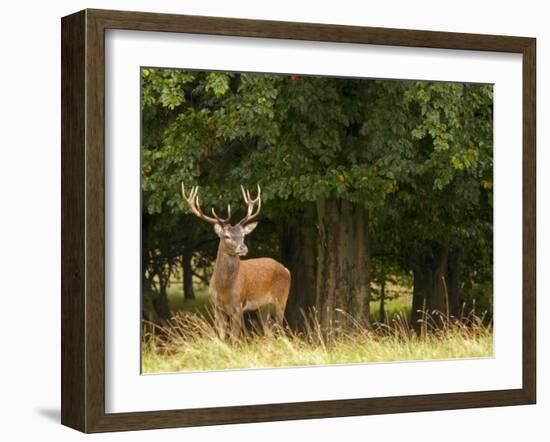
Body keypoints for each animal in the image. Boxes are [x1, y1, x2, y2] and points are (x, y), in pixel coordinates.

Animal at [182, 183, 294, 338]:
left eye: (243, 235)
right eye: (227, 236)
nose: (243, 247)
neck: (223, 288)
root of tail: (286, 269)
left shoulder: (238, 306)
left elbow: (235, 338)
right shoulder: (216, 307)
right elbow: (222, 337)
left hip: (281, 298)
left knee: (281, 329)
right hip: (262, 306)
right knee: (269, 331)